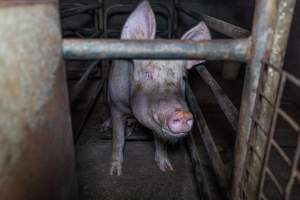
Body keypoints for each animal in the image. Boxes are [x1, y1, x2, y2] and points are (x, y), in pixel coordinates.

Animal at [108, 0, 211, 175]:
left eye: (183, 78)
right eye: (148, 74)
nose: (182, 113)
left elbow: (161, 141)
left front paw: (167, 168)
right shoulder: (116, 106)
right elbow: (118, 138)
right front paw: (115, 173)